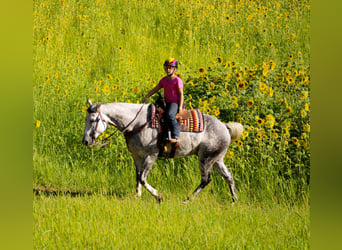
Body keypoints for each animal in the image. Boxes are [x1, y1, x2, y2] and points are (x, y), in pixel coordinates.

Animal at [82, 99, 243, 203]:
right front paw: (137, 196)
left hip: (205, 159)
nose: (85, 141)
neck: (137, 123)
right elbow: (137, 176)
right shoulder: (136, 156)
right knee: (228, 176)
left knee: (206, 179)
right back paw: (234, 200)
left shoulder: (150, 156)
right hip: (217, 160)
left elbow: (142, 178)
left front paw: (158, 196)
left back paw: (188, 199)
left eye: (93, 120)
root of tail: (225, 127)